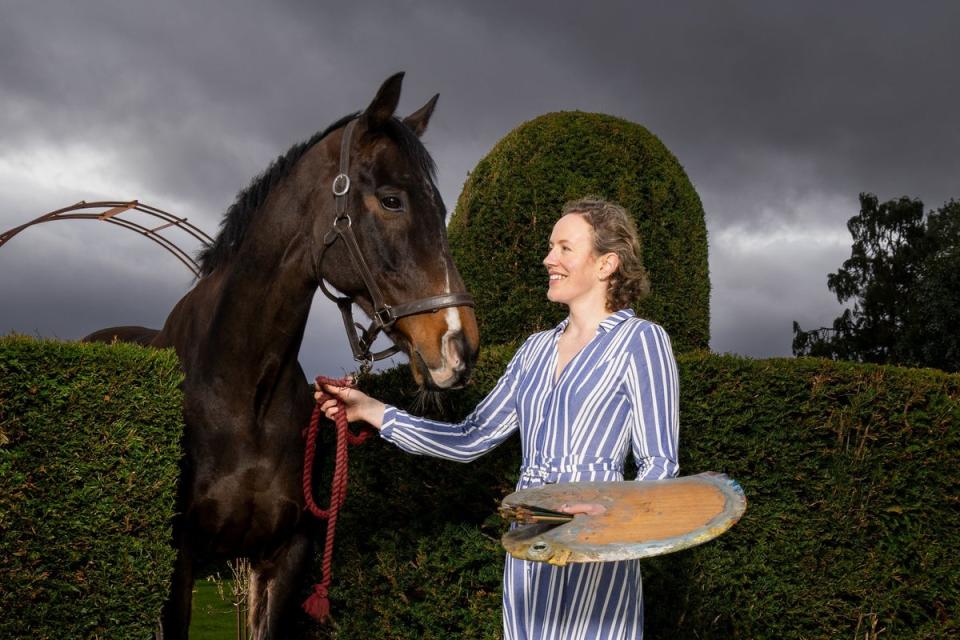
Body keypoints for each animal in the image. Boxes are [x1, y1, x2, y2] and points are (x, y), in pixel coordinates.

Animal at [86, 74, 480, 640]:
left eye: (442, 209)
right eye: (391, 200)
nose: (459, 345)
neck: (245, 388)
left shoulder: (283, 557)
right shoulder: (180, 561)